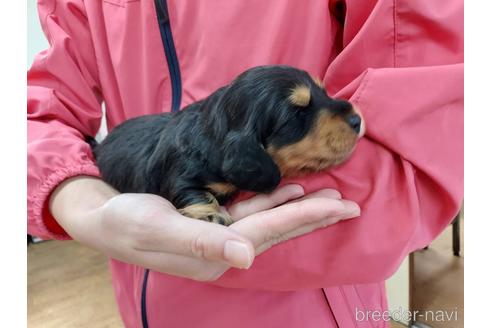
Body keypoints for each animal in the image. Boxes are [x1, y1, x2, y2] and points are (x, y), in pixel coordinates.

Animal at [92, 66, 364, 226]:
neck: (212, 130)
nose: (357, 120)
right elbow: (194, 191)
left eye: (324, 92)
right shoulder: (180, 176)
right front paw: (209, 214)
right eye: (297, 114)